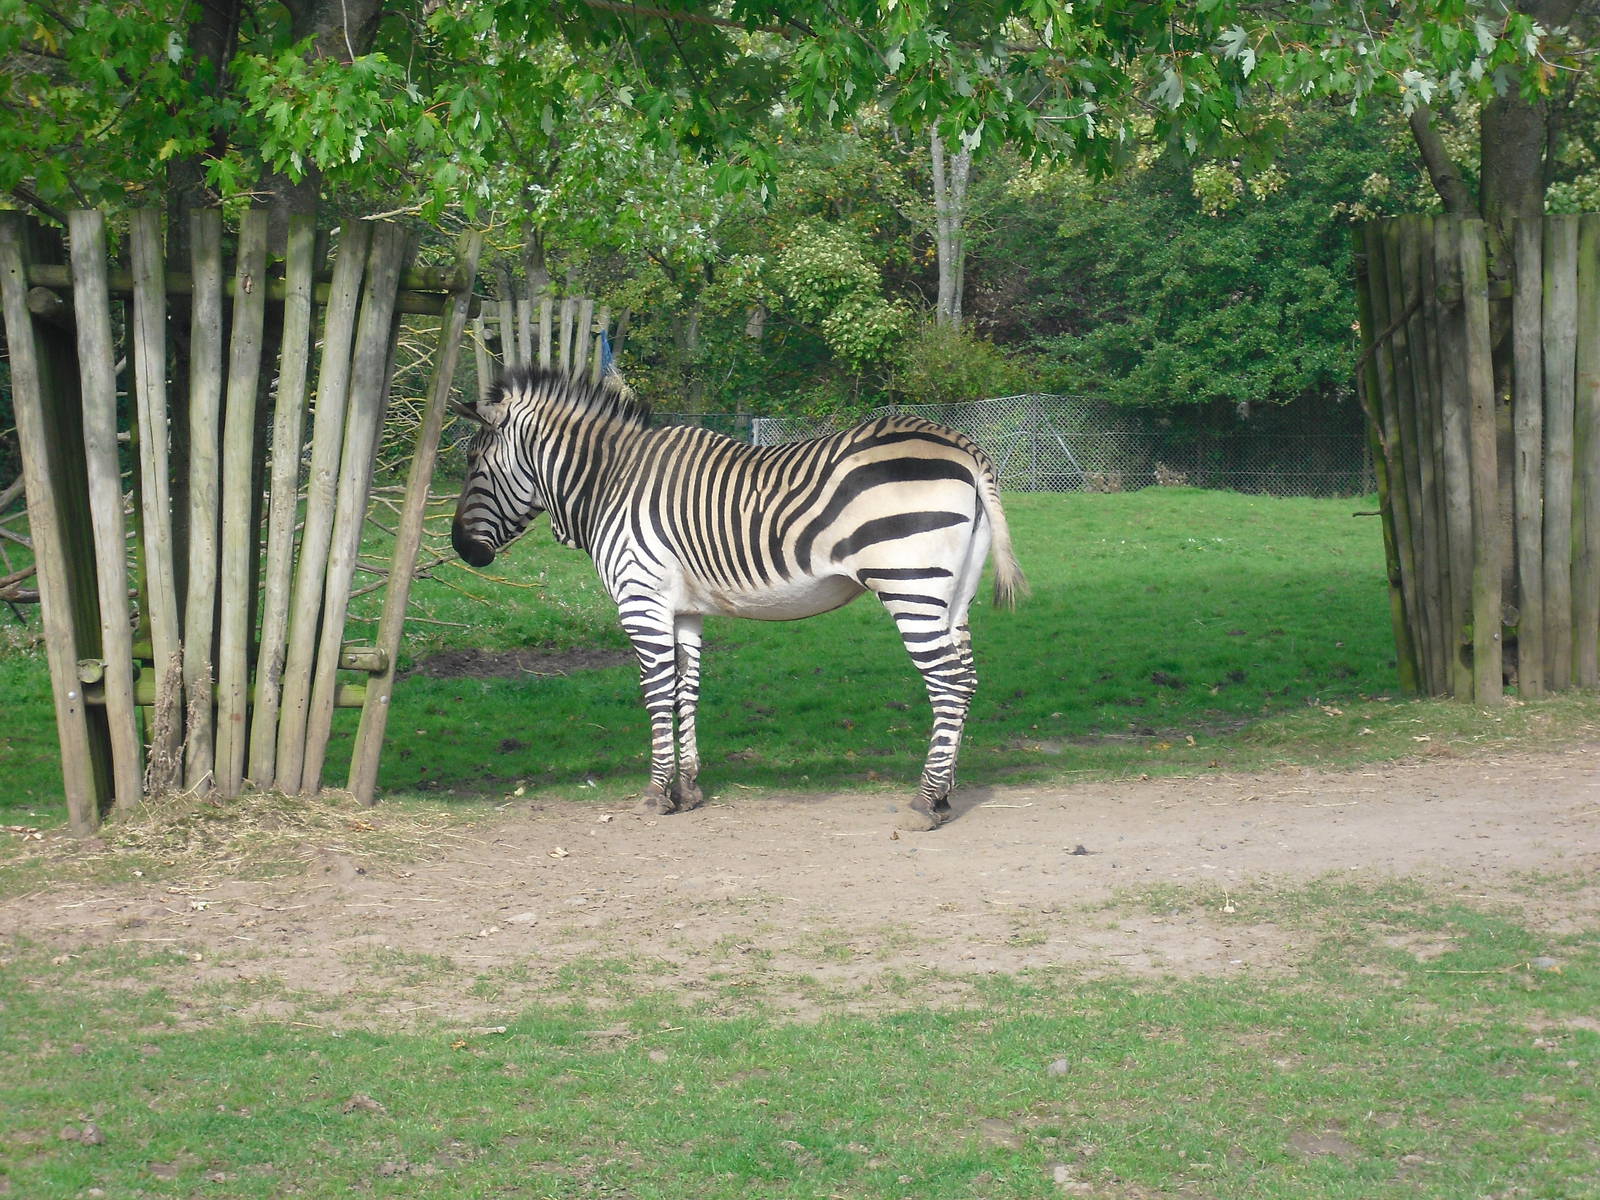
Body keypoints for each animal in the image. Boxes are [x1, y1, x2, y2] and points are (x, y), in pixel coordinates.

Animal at [450, 366, 1026, 830]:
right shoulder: (683, 611)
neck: (610, 480)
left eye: (474, 461)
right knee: (967, 680)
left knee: (948, 683)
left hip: (910, 583)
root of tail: (964, 447)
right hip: (953, 594)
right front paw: (688, 789)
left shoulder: (640, 600)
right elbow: (685, 691)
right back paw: (945, 795)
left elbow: (656, 693)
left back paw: (925, 803)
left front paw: (656, 795)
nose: (460, 549)